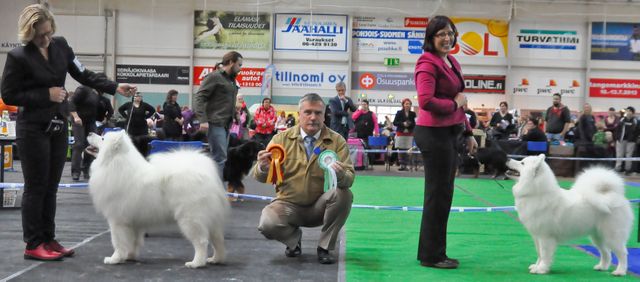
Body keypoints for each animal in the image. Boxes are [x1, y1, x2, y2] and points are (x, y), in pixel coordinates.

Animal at [87, 132, 230, 268]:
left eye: (103, 138)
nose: (89, 133)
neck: (115, 163)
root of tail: (207, 174)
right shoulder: (134, 221)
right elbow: (134, 241)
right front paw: (130, 256)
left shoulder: (117, 221)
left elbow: (118, 242)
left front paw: (114, 259)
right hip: (210, 219)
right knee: (218, 240)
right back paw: (215, 259)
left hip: (191, 218)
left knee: (201, 242)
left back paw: (196, 263)